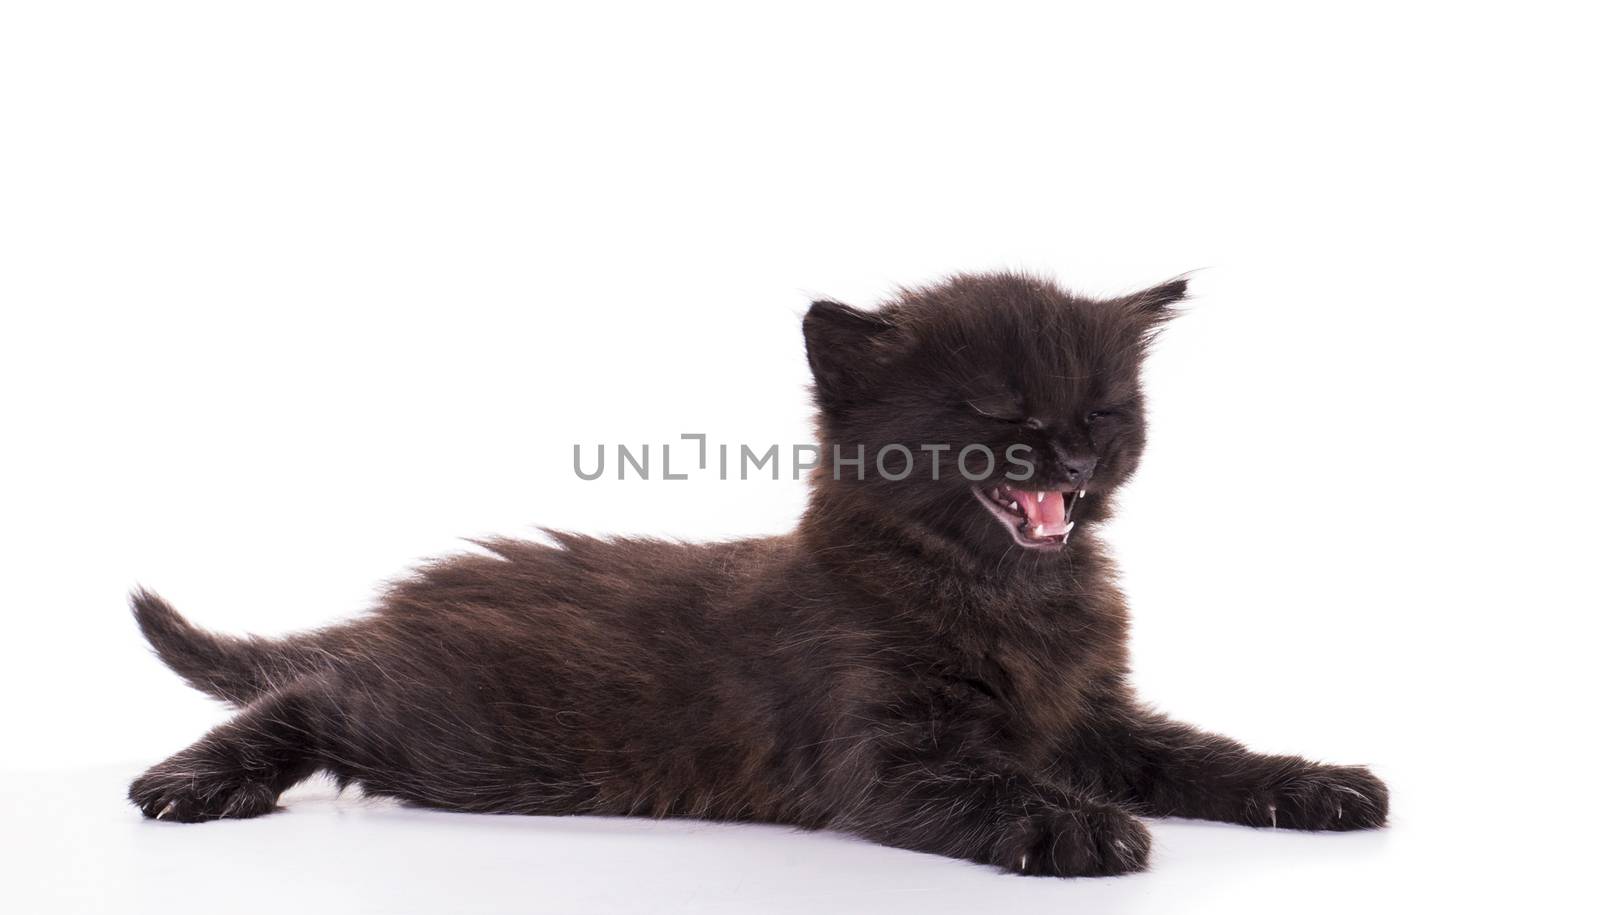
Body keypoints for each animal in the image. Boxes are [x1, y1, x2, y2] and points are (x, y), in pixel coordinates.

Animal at [131, 275, 1382, 876]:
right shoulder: (887, 758)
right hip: (437, 731)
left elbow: (1205, 754)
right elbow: (990, 787)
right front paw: (1076, 829)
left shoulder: (1097, 719)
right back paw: (192, 781)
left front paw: (1316, 784)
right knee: (309, 695)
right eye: (994, 413)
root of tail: (399, 606)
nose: (1070, 457)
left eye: (1104, 411)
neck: (1010, 597)